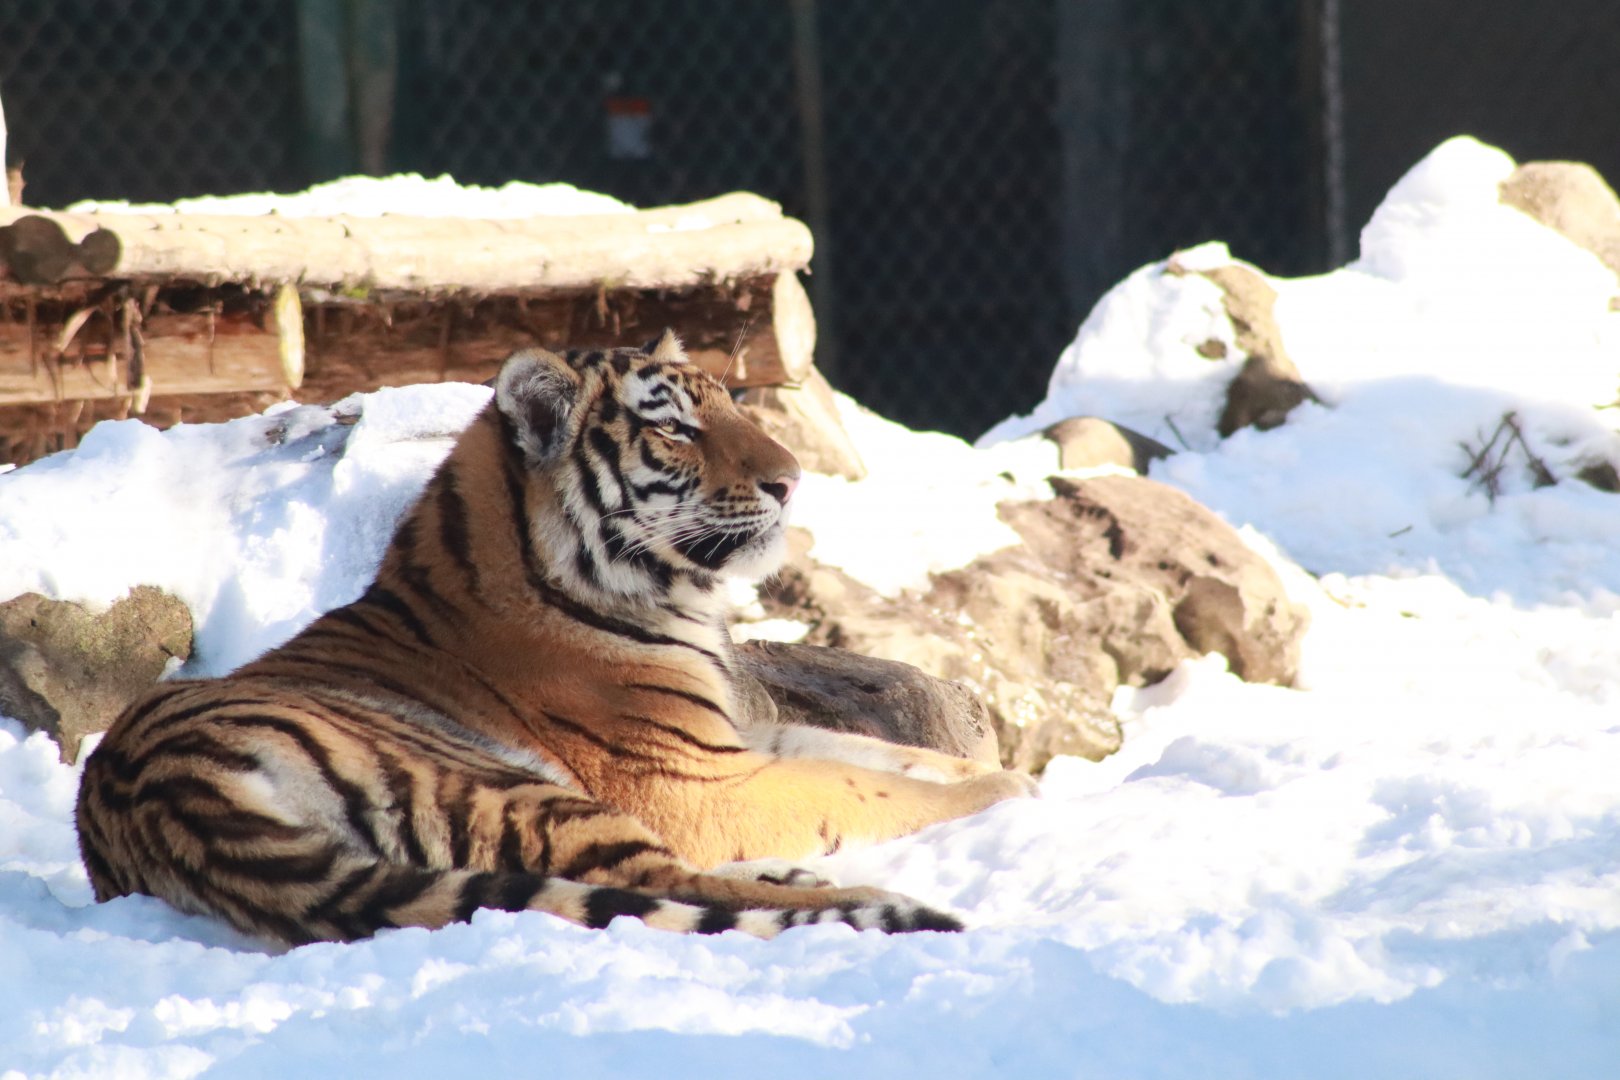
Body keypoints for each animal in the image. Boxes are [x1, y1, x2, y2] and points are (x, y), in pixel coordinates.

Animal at [74, 330, 1036, 947]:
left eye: (734, 407)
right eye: (674, 427)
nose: (792, 480)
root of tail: (158, 793)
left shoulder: (739, 735)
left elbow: (886, 755)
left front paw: (1008, 777)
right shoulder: (697, 780)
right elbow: (868, 788)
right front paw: (1006, 797)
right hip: (509, 786)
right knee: (659, 884)